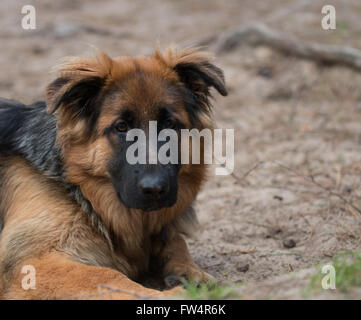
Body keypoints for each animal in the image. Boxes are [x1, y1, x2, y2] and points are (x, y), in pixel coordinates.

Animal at [0, 48, 225, 300]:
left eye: (169, 124)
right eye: (121, 127)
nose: (155, 189)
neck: (83, 192)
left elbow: (176, 240)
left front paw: (191, 273)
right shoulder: (29, 261)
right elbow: (106, 276)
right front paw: (172, 294)